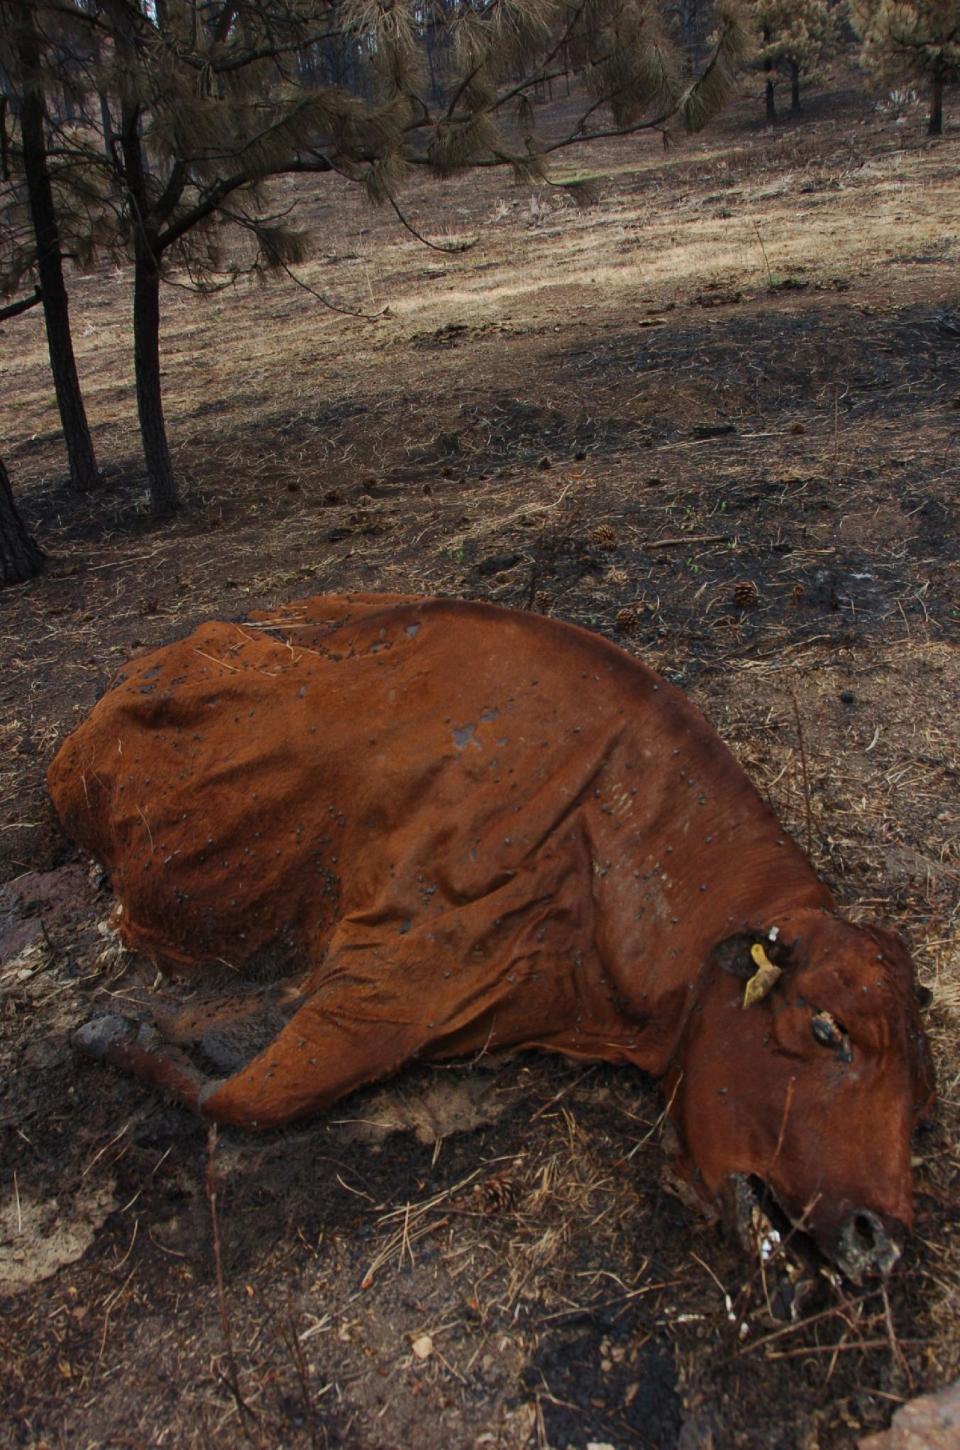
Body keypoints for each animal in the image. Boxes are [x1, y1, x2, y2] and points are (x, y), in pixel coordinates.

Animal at [48, 594, 933, 1276]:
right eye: (825, 1028)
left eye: (924, 1099)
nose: (880, 1241)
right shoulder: (383, 984)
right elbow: (247, 1096)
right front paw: (111, 1027)